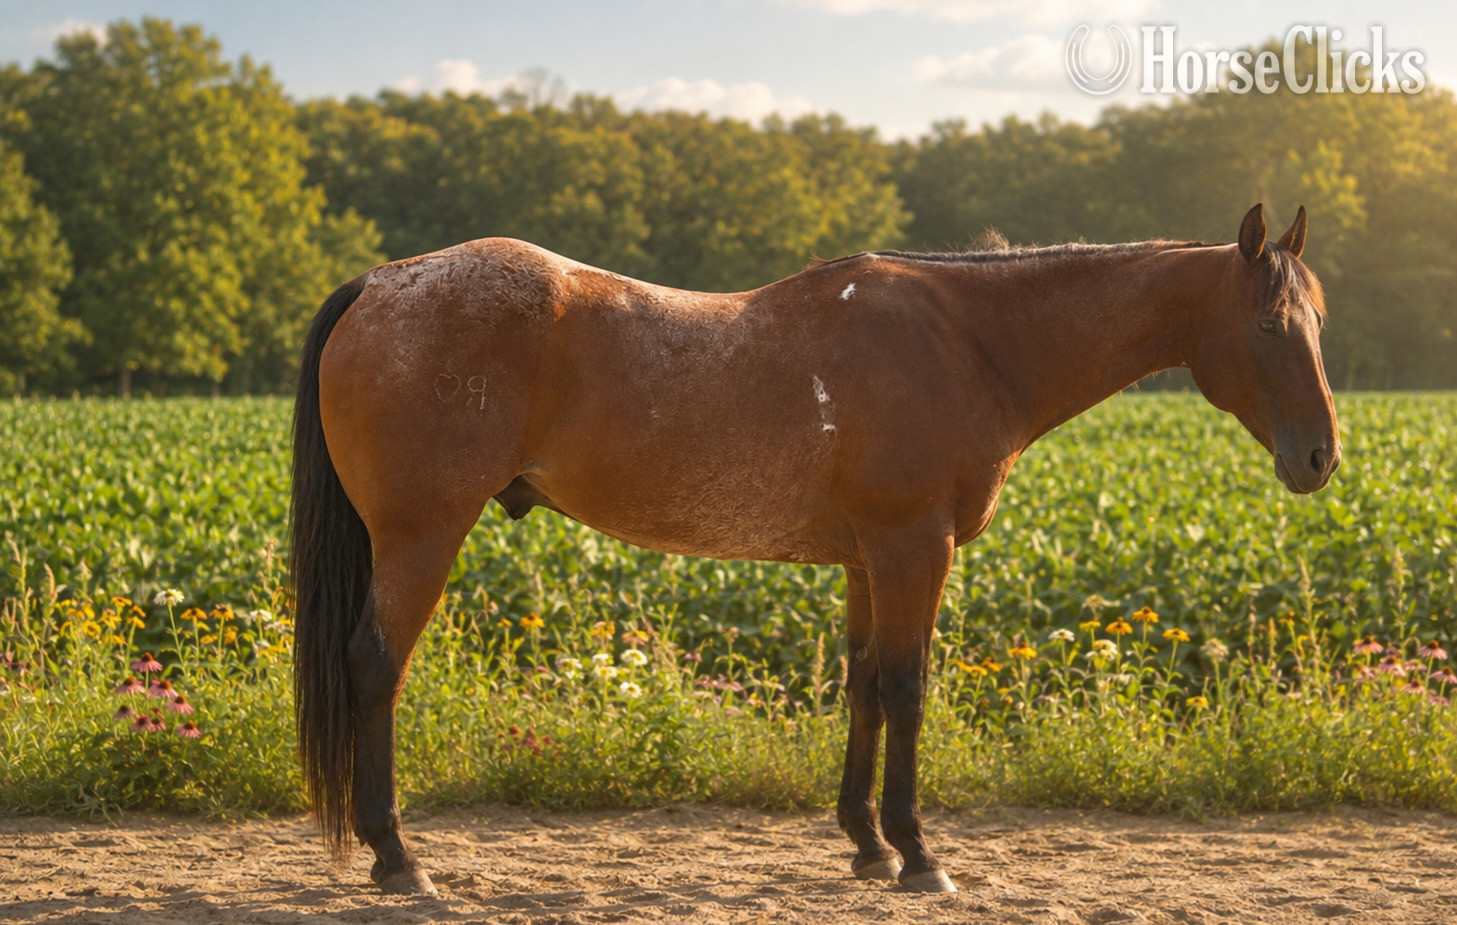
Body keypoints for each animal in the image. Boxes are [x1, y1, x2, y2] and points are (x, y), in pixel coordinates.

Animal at [290, 203, 1339, 896]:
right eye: (1267, 323)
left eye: (1317, 321)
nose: (1320, 457)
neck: (967, 341)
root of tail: (381, 282)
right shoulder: (915, 548)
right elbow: (909, 688)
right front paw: (920, 856)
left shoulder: (868, 560)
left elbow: (865, 685)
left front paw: (866, 844)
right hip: (422, 536)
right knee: (373, 664)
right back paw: (399, 860)